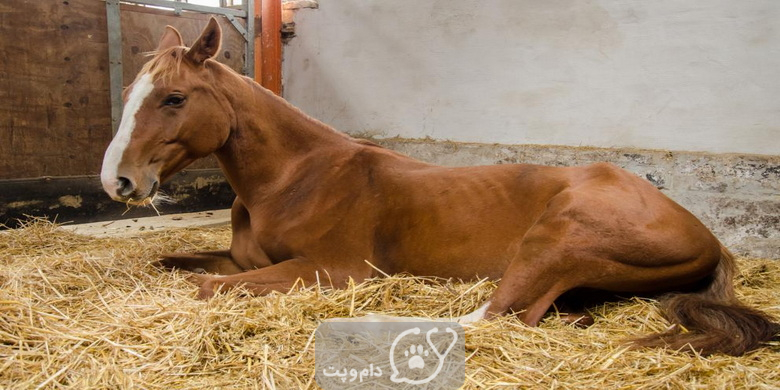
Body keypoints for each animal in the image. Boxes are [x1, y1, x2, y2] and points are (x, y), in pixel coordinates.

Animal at [100, 20, 776, 356]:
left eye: (174, 97)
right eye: (133, 91)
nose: (117, 180)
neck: (295, 180)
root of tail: (709, 237)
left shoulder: (335, 270)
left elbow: (207, 287)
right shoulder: (245, 259)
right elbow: (176, 264)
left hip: (560, 238)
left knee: (494, 315)